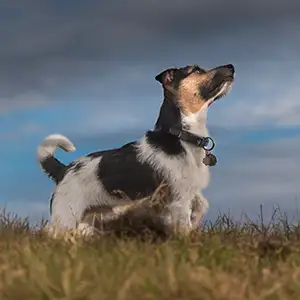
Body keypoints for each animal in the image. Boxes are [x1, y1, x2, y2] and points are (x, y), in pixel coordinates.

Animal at [37, 63, 234, 237]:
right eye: (196, 70)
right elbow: (184, 225)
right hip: (66, 217)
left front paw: (194, 222)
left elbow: (203, 205)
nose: (231, 66)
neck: (180, 136)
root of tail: (63, 170)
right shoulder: (178, 199)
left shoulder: (189, 190)